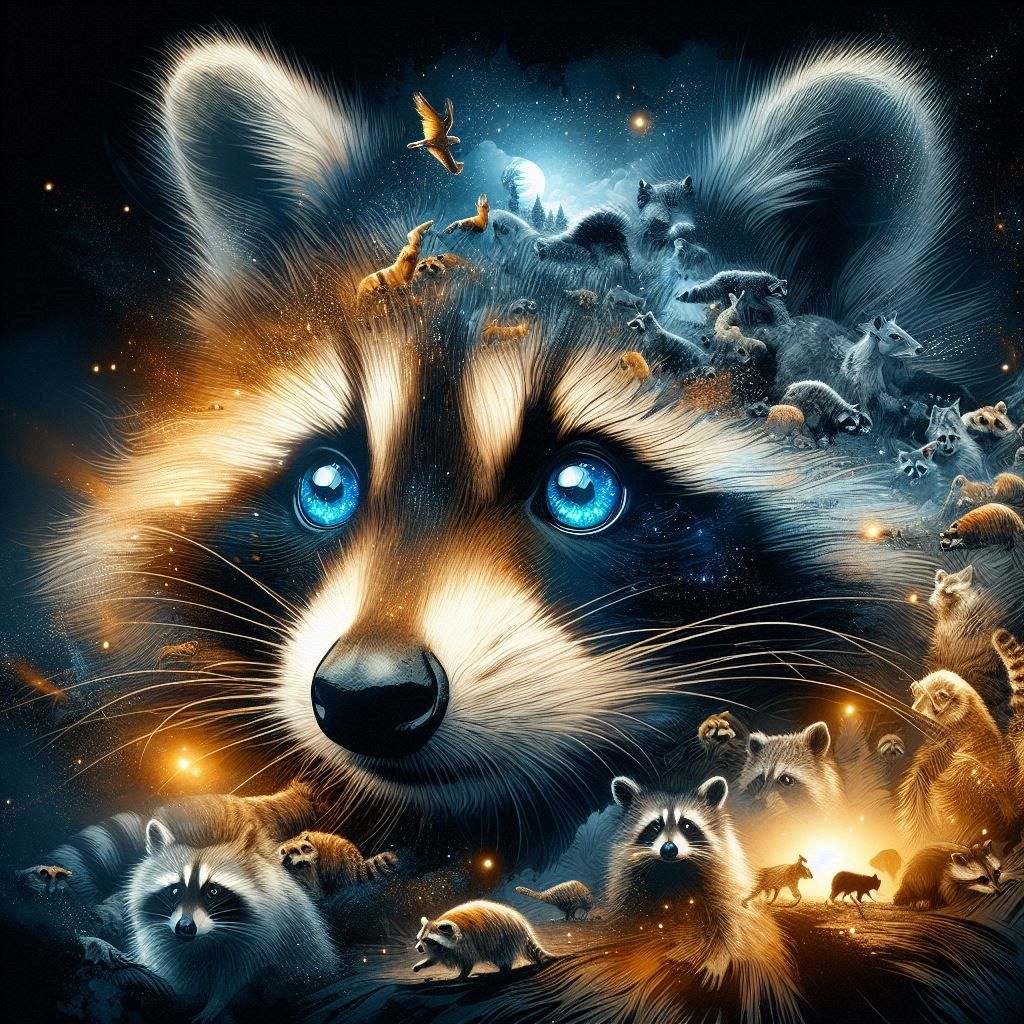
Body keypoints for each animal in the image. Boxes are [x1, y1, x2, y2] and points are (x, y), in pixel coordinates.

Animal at [126, 818, 336, 1021]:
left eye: (213, 891)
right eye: (175, 890)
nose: (185, 926)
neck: (201, 942)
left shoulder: (263, 940)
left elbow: (235, 977)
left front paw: (215, 1004)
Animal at [413, 900, 554, 977]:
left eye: (426, 940)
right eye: (418, 939)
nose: (418, 948)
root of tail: (523, 924)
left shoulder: (467, 944)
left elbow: (468, 961)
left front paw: (463, 975)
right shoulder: (442, 949)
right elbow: (435, 958)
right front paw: (422, 964)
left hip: (505, 938)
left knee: (501, 955)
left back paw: (502, 970)